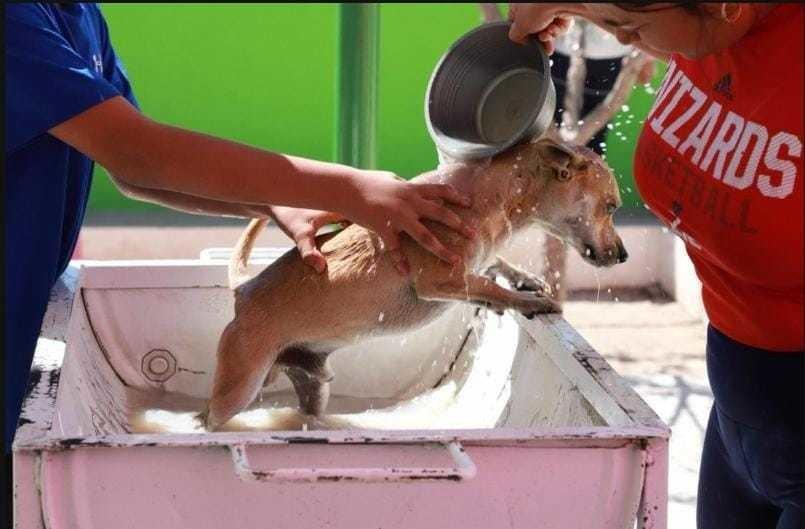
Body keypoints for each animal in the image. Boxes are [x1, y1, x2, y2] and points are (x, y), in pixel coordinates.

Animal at [201, 137, 628, 428]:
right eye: (611, 207)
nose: (623, 255)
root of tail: (242, 290)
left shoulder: (471, 264)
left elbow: (492, 267)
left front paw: (523, 279)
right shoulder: (440, 279)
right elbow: (485, 284)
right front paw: (527, 301)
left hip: (312, 384)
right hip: (238, 386)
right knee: (212, 416)